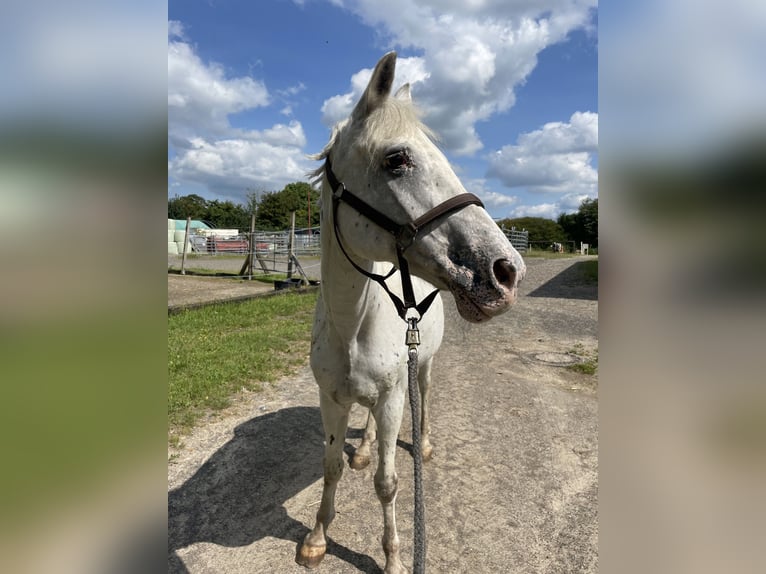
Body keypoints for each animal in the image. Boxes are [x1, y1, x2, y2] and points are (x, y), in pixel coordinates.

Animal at [296, 51, 524, 572]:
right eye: (397, 159)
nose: (507, 271)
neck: (351, 322)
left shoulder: (394, 396)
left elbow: (388, 483)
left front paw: (394, 558)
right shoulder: (332, 398)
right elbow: (330, 466)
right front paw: (317, 537)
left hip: (421, 370)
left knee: (423, 397)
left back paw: (421, 443)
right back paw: (363, 448)